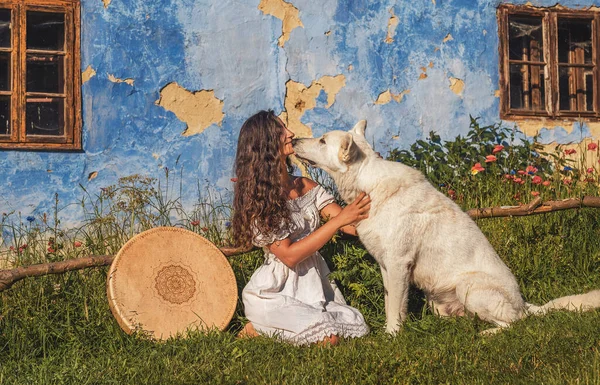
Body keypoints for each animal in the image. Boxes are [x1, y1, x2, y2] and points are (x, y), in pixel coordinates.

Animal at [292, 121, 600, 332]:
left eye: (322, 140)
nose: (294, 139)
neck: (368, 184)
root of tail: (525, 305)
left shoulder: (398, 263)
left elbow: (394, 308)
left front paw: (392, 336)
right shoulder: (387, 266)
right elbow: (392, 303)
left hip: (469, 287)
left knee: (513, 324)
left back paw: (486, 334)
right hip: (439, 302)